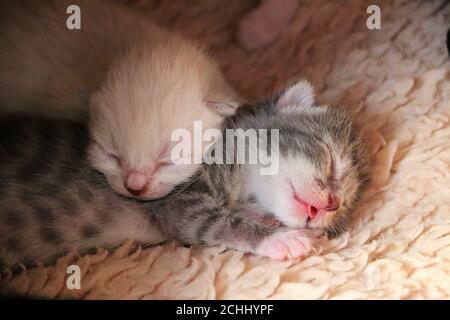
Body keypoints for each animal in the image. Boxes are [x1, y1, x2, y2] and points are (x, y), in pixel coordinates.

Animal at [0, 80, 370, 268]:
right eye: (331, 162)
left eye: (345, 205)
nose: (331, 204)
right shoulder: (176, 199)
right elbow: (219, 222)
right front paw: (281, 238)